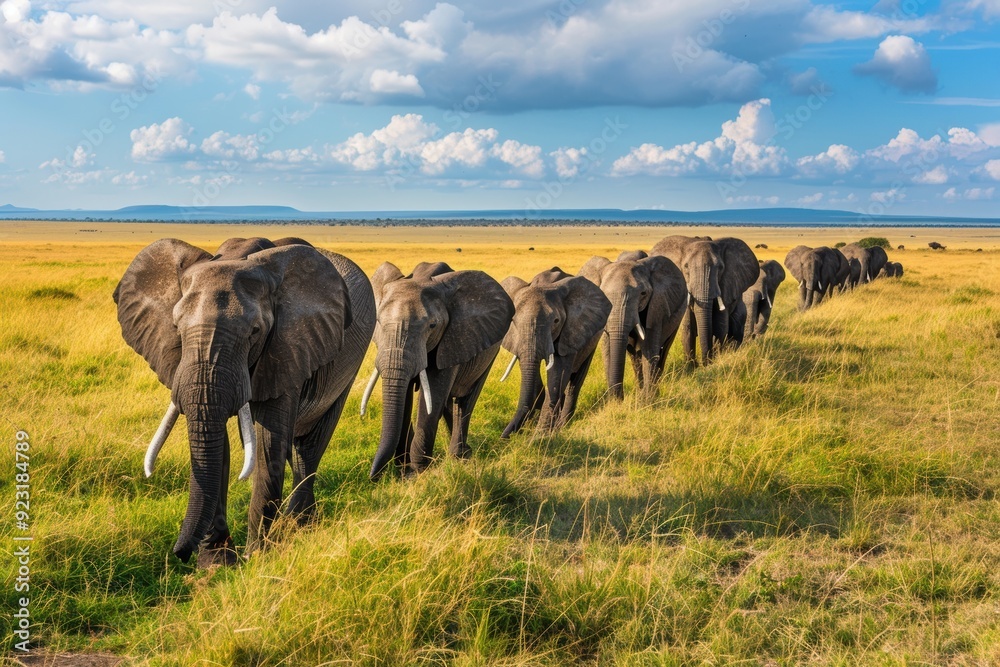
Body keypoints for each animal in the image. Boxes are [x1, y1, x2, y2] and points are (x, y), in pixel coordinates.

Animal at [114, 237, 375, 565]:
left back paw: (298, 526)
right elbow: (217, 444)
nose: (179, 553)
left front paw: (258, 557)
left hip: (348, 364)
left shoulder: (288, 348)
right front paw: (215, 564)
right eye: (176, 328)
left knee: (309, 446)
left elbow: (268, 443)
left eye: (255, 332)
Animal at [363, 261, 514, 480]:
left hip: (491, 349)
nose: (374, 477)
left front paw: (417, 471)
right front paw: (404, 470)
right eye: (379, 322)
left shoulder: (452, 339)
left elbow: (432, 395)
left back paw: (459, 455)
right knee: (448, 402)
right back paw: (463, 451)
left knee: (465, 401)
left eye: (432, 325)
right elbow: (406, 397)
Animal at [498, 267, 611, 437]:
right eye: (513, 321)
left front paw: (540, 437)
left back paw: (562, 425)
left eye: (556, 321)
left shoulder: (570, 330)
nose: (503, 437)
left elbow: (558, 371)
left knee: (575, 382)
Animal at [578, 251, 688, 398]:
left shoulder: (658, 306)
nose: (620, 398)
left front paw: (648, 399)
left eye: (643, 294)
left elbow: (649, 347)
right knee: (634, 355)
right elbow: (608, 349)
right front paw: (615, 401)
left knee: (664, 349)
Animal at [650, 236, 759, 366]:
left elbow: (720, 327)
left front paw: (713, 362)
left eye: (721, 268)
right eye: (686, 267)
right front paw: (691, 367)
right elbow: (688, 328)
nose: (704, 362)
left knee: (736, 327)